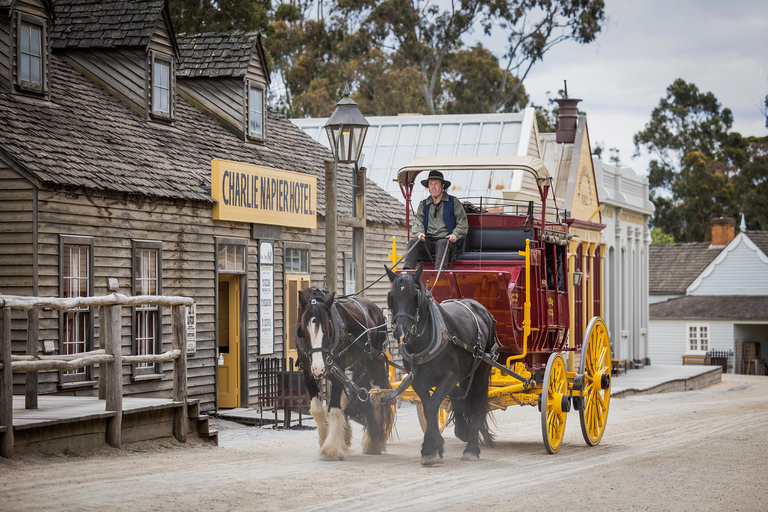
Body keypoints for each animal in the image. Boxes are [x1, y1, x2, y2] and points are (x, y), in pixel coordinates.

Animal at [292, 288, 392, 460]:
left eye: (328, 330)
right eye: (304, 331)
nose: (319, 369)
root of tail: (376, 308)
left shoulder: (336, 369)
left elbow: (333, 409)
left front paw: (331, 448)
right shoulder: (308, 373)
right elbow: (318, 410)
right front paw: (325, 438)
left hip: (375, 363)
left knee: (377, 396)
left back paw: (373, 441)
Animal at [388, 264, 496, 464]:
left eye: (415, 297)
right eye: (392, 297)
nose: (400, 332)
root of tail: (480, 308)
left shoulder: (449, 377)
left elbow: (432, 406)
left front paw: (430, 448)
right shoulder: (418, 381)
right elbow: (428, 407)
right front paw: (432, 448)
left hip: (482, 369)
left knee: (477, 402)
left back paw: (472, 448)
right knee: (461, 396)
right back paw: (463, 429)